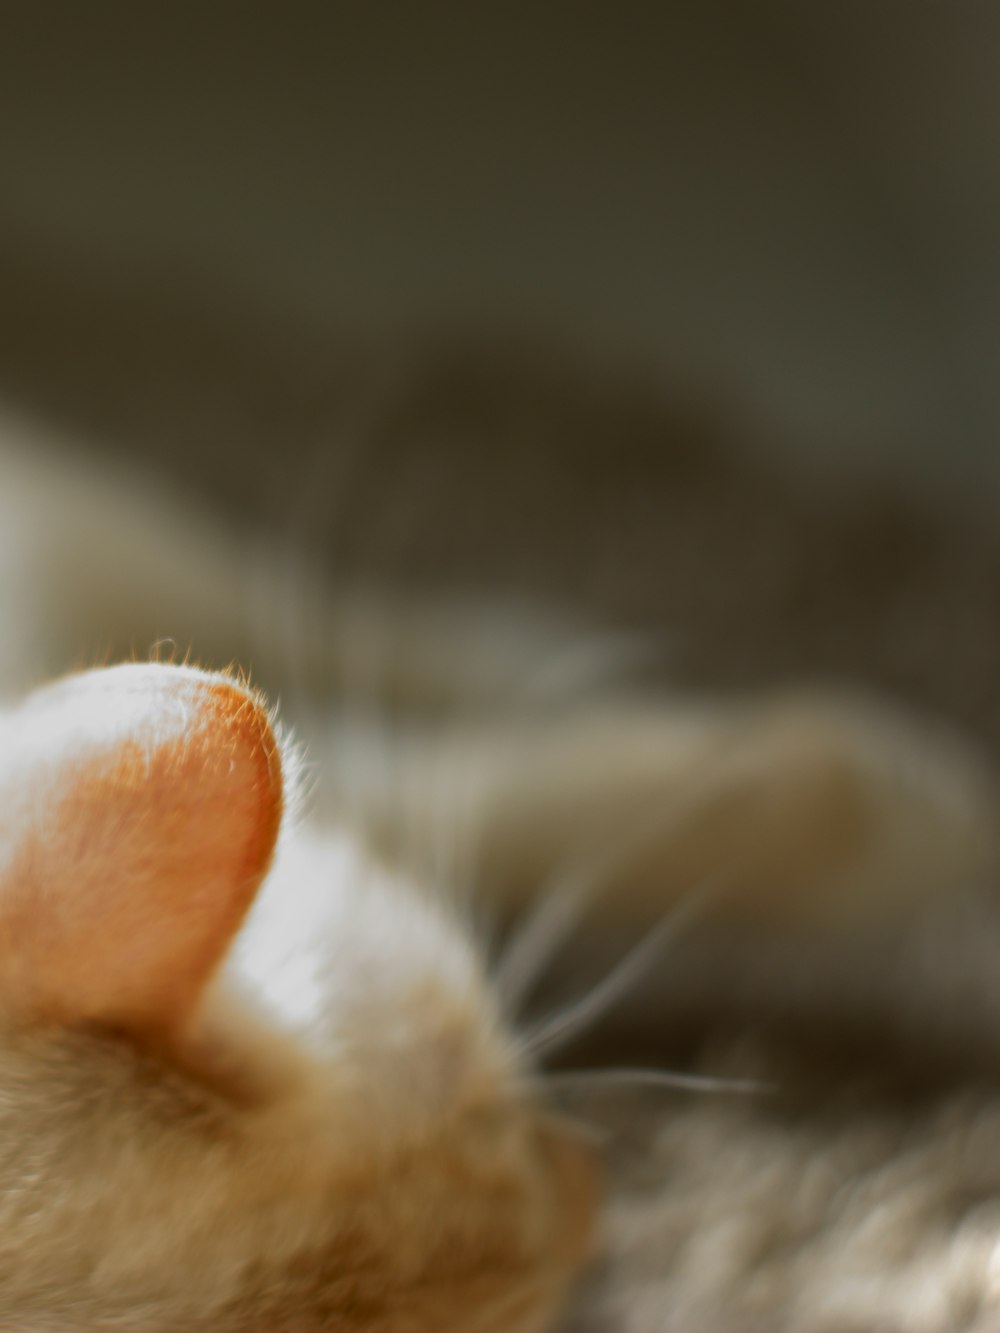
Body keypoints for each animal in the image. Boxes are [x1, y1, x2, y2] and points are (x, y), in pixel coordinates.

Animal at [1, 410, 1000, 1327]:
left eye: (483, 1081)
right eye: (506, 1120)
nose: (598, 1192)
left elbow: (555, 793)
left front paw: (935, 813)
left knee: (341, 611)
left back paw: (532, 642)